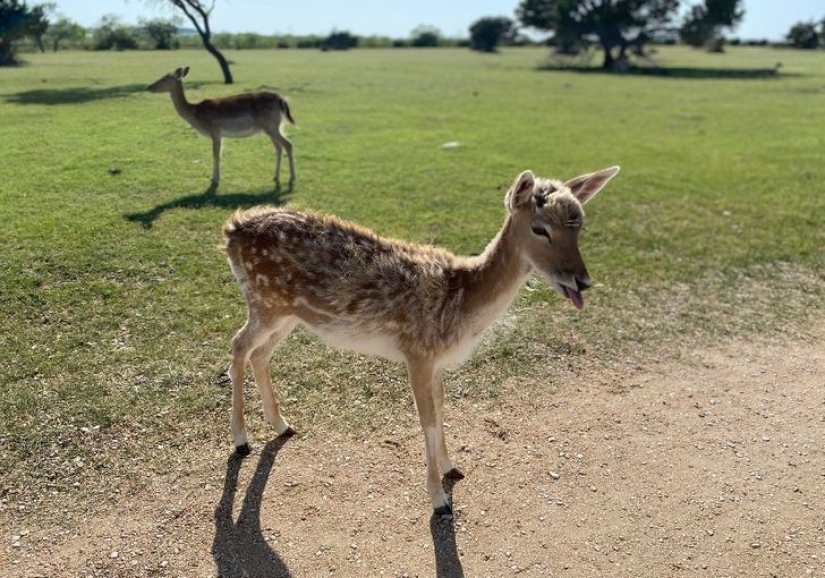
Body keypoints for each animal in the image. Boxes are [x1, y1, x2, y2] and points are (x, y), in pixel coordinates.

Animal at [148, 66, 296, 187]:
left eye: (165, 77)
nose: (149, 87)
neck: (196, 114)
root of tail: (281, 100)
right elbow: (217, 154)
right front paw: (214, 178)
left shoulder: (215, 131)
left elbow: (216, 155)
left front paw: (215, 179)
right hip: (272, 127)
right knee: (279, 148)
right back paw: (275, 176)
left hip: (271, 126)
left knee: (288, 144)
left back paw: (292, 178)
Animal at [222, 164, 616, 510]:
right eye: (539, 229)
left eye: (580, 226)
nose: (581, 280)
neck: (461, 305)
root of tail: (230, 230)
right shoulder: (417, 351)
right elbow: (425, 419)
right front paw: (439, 500)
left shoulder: (437, 360)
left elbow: (441, 410)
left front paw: (452, 468)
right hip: (265, 303)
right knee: (238, 345)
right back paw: (241, 440)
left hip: (288, 314)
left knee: (259, 353)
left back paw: (282, 425)